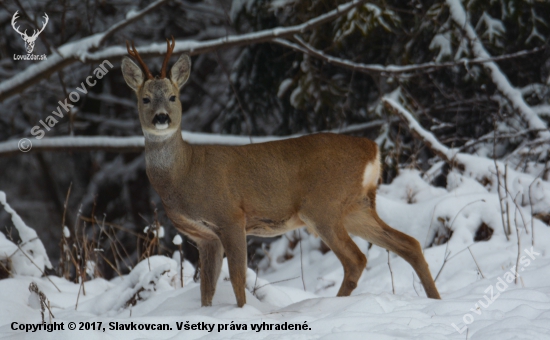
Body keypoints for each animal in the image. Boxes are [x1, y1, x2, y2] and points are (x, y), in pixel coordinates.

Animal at [122, 37, 444, 308]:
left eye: (173, 97)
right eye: (145, 99)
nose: (161, 118)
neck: (184, 173)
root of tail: (372, 149)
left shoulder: (231, 216)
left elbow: (237, 279)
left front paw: (243, 313)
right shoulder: (203, 237)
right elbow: (206, 291)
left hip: (323, 205)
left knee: (356, 259)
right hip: (357, 206)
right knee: (409, 243)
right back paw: (436, 300)